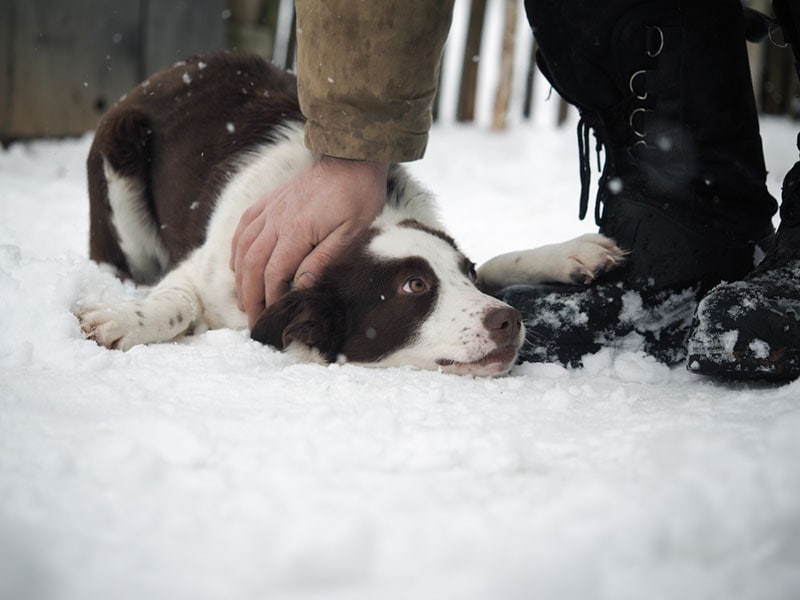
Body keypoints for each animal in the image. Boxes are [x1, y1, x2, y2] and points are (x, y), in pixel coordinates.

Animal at [75, 54, 624, 378]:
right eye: (413, 287)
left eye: (462, 275)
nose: (510, 320)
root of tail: (172, 69)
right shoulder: (207, 272)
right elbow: (178, 302)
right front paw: (124, 319)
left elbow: (494, 263)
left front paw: (570, 252)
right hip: (120, 158)